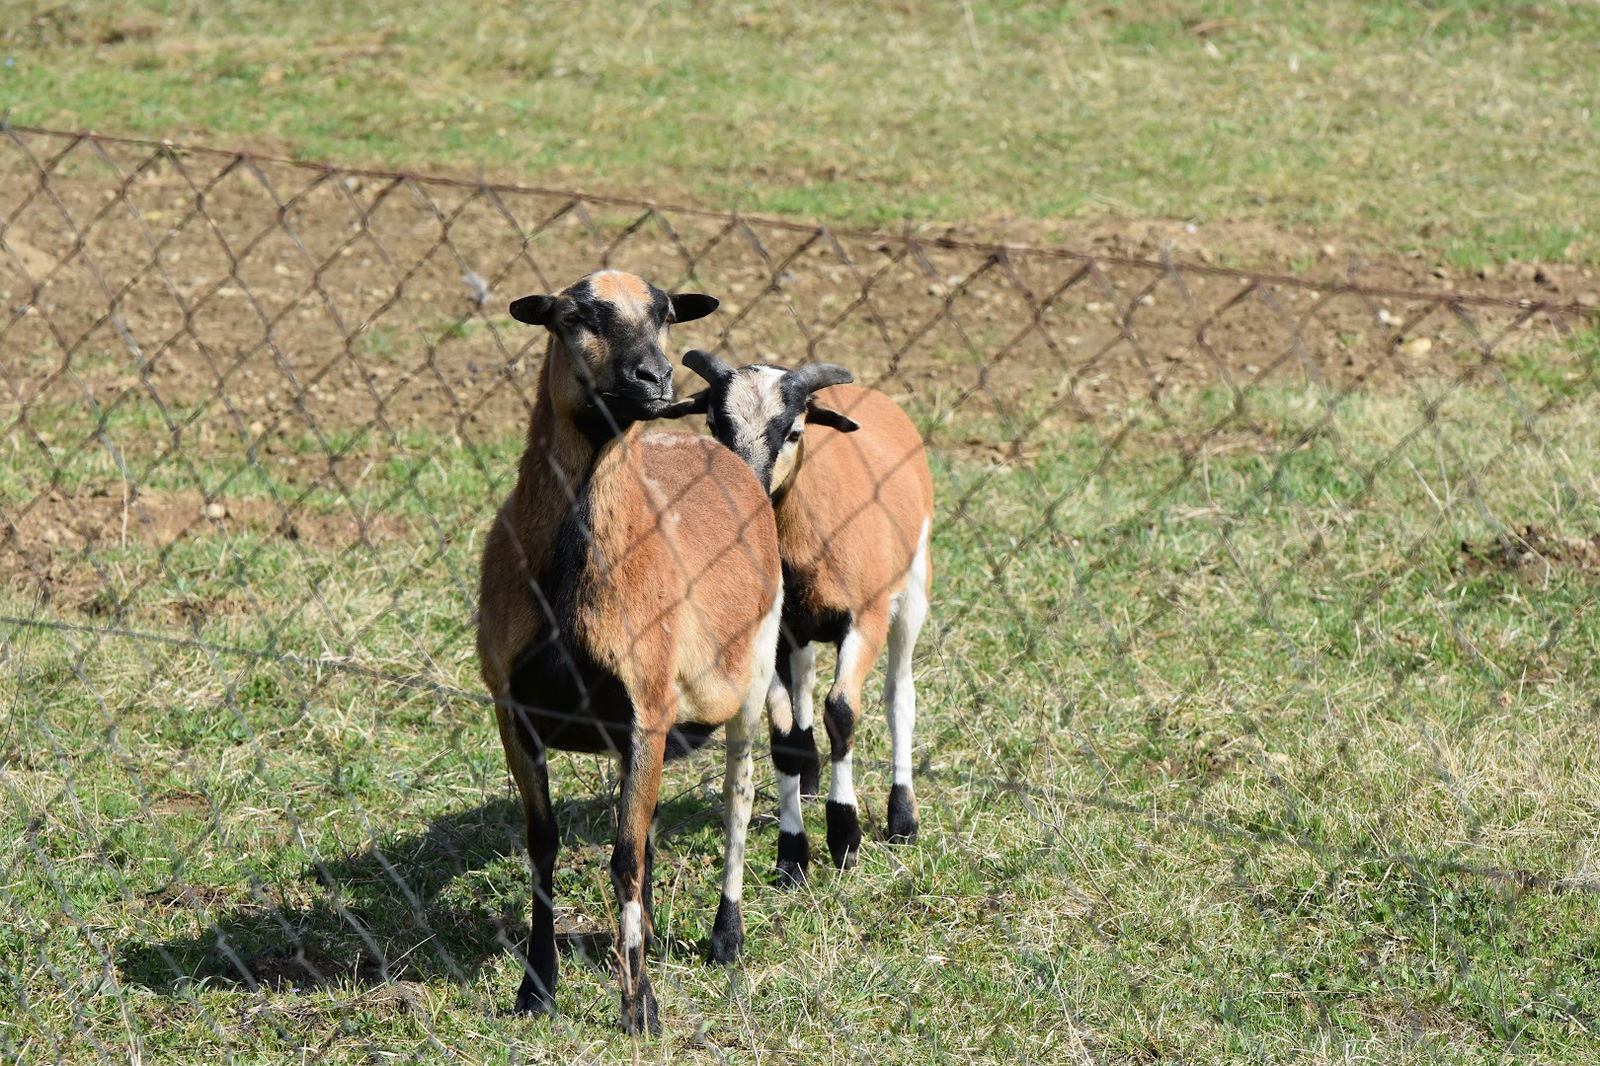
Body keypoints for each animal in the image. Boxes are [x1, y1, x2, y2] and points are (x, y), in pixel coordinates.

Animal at [476, 272, 784, 1030]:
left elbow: (625, 859)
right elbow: (546, 846)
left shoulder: (647, 709)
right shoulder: (514, 711)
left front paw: (640, 1006)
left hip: (753, 674)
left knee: (737, 797)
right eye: (574, 316)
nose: (655, 378)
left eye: (666, 313)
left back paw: (726, 938)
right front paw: (535, 990)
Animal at [665, 348, 934, 877]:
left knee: (900, 695)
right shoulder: (767, 635)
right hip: (800, 632)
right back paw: (810, 783)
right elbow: (784, 734)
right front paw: (792, 855)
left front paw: (845, 835)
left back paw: (903, 819)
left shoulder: (865, 619)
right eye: (713, 424)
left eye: (793, 432)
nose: (742, 493)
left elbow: (843, 713)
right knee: (805, 684)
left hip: (912, 589)